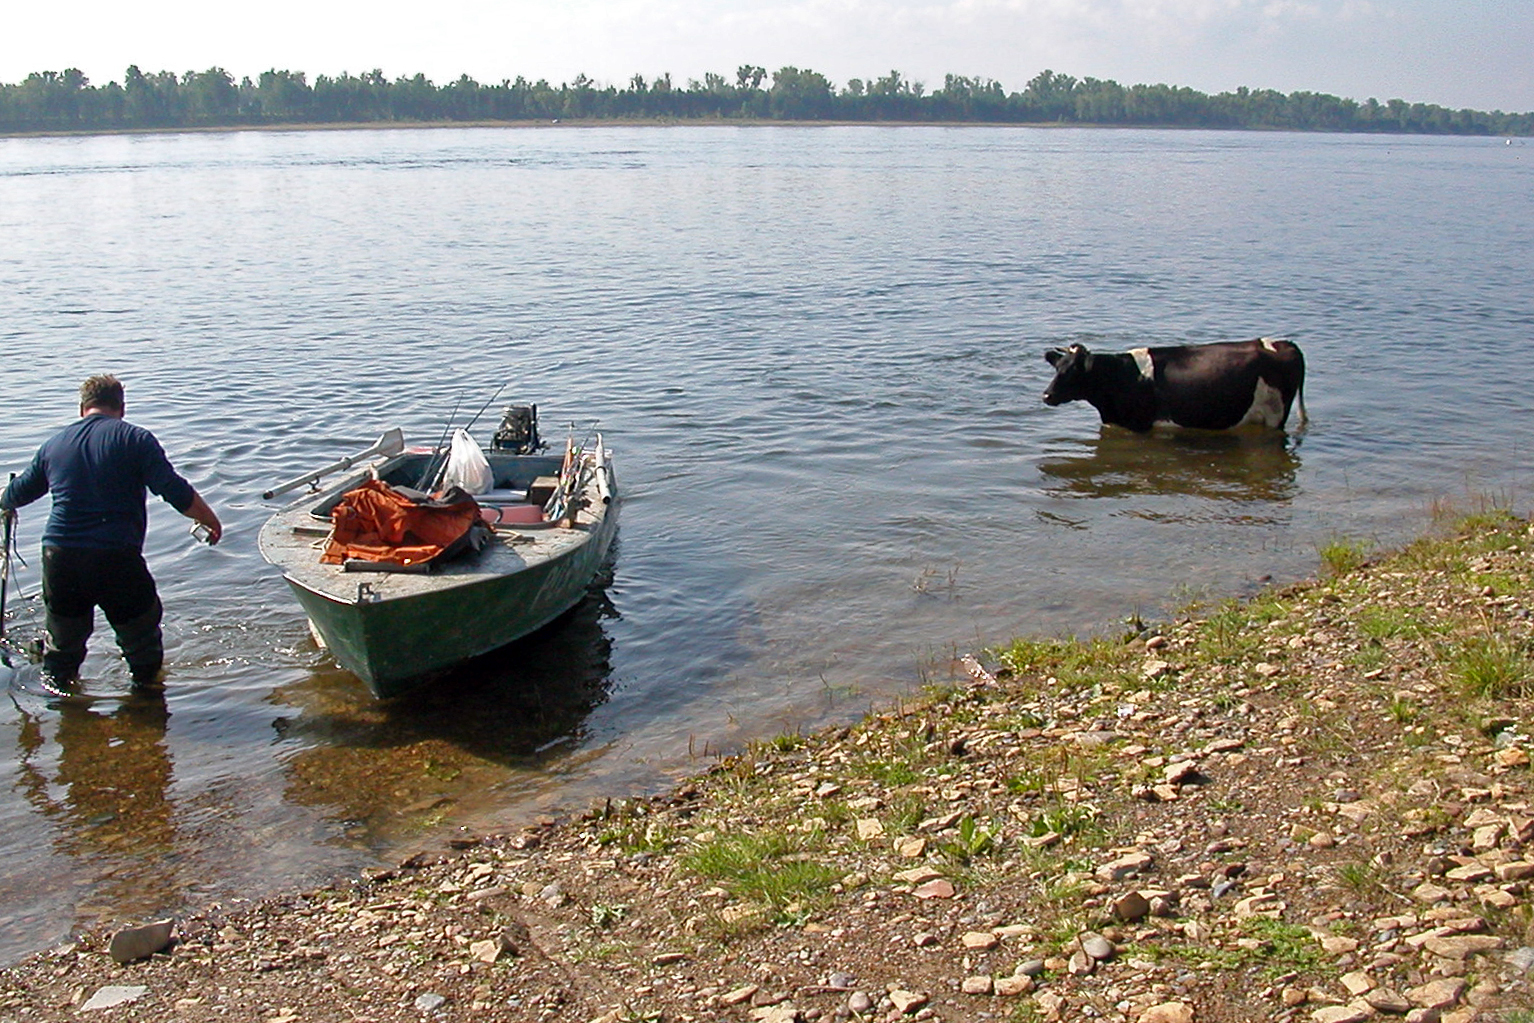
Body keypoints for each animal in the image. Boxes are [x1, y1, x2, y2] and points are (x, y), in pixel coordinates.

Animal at [1043, 335, 1306, 432]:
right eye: (1057, 368)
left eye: (1073, 371)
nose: (1047, 395)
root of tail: (1285, 343)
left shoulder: (1140, 425)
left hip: (1275, 414)